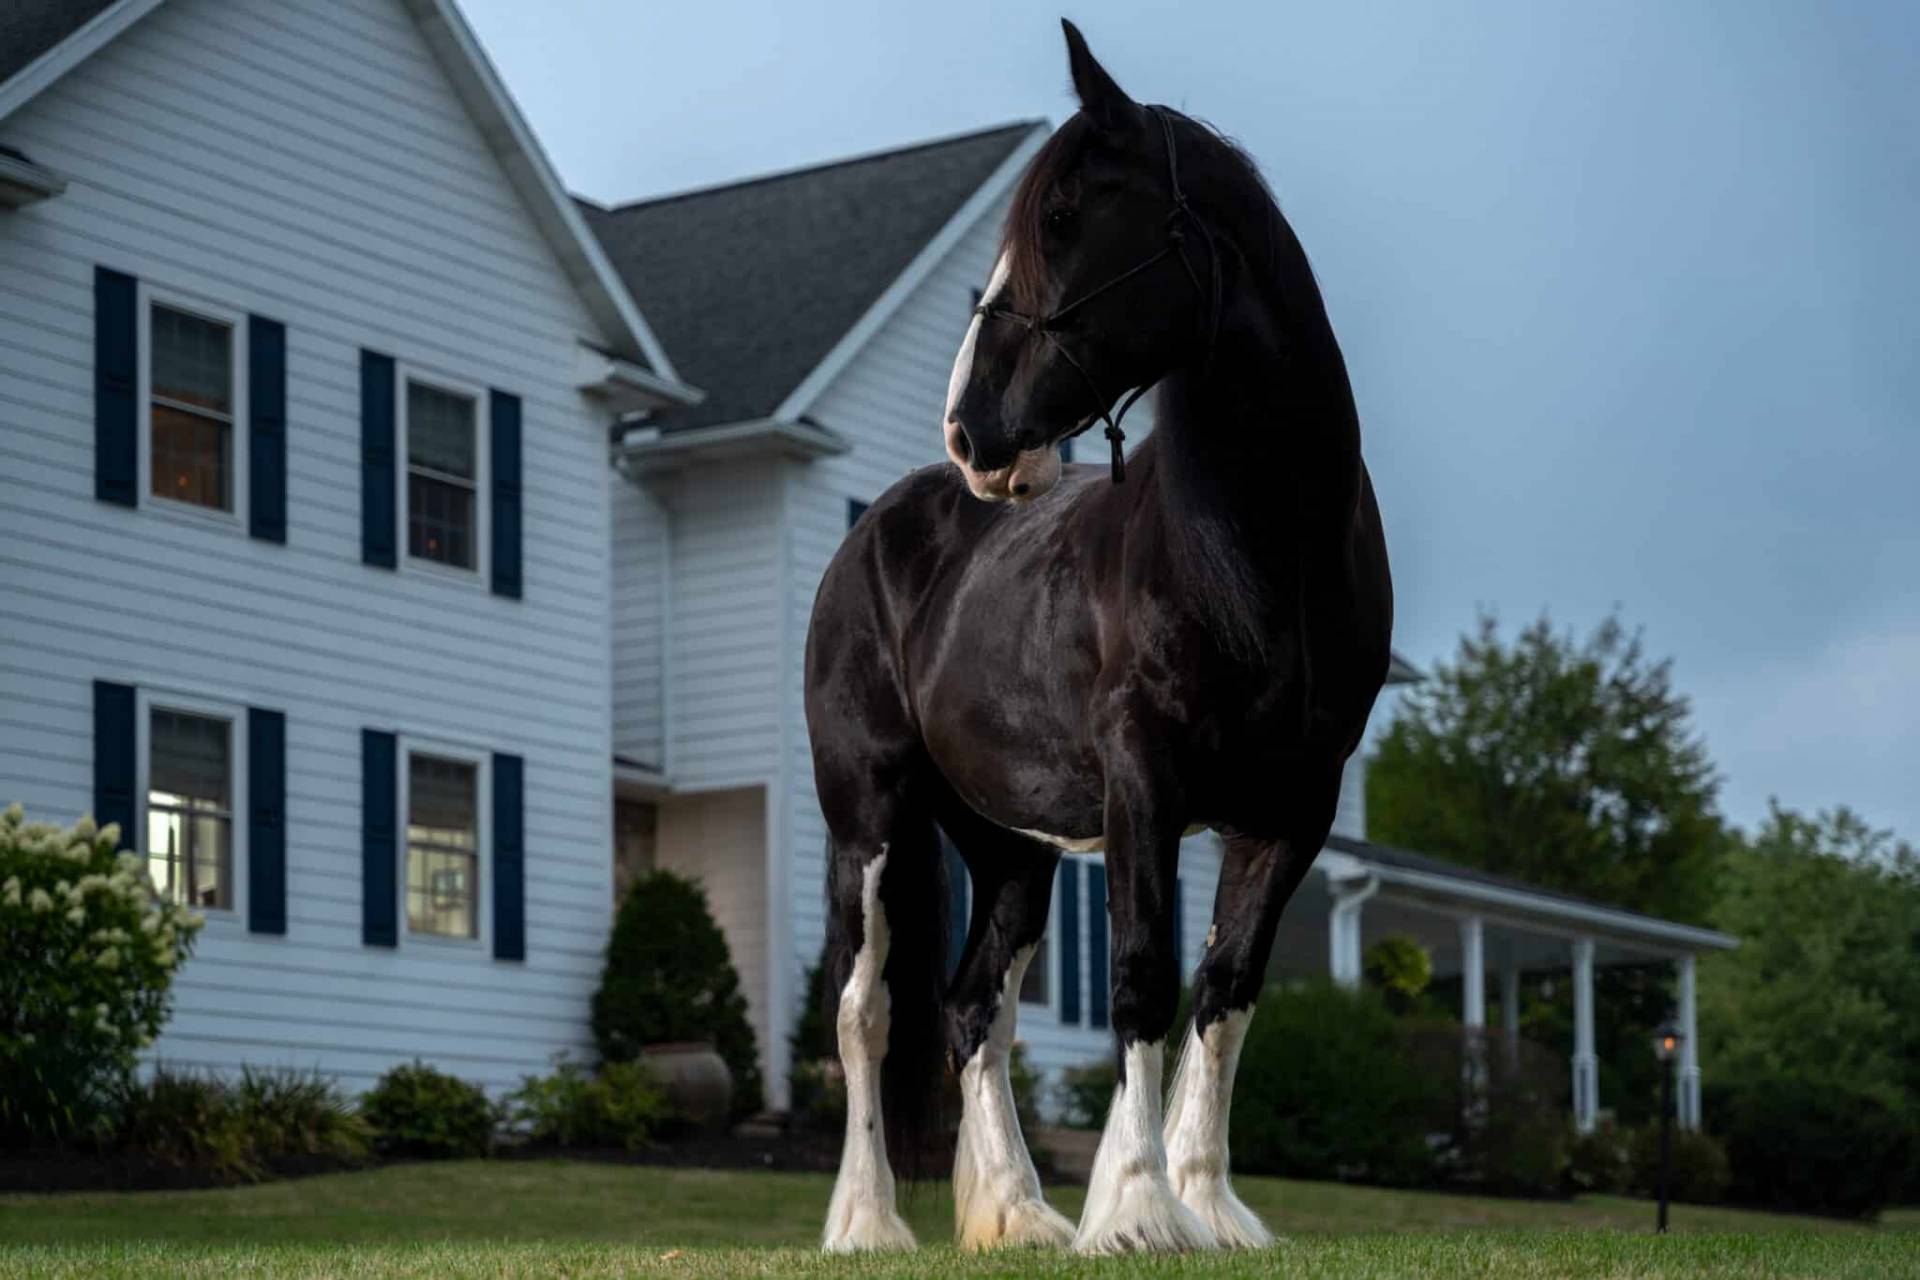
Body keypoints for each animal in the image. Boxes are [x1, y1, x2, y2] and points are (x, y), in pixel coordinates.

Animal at [804, 20, 1393, 1254]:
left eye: (1066, 216)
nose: (972, 432)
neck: (1268, 551)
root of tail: (879, 524)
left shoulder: (1296, 805)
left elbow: (1226, 987)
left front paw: (1206, 1202)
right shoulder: (1142, 779)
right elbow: (1139, 976)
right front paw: (1136, 1208)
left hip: (1010, 847)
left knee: (973, 1006)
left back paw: (1021, 1213)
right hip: (866, 813)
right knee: (865, 1007)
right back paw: (870, 1221)